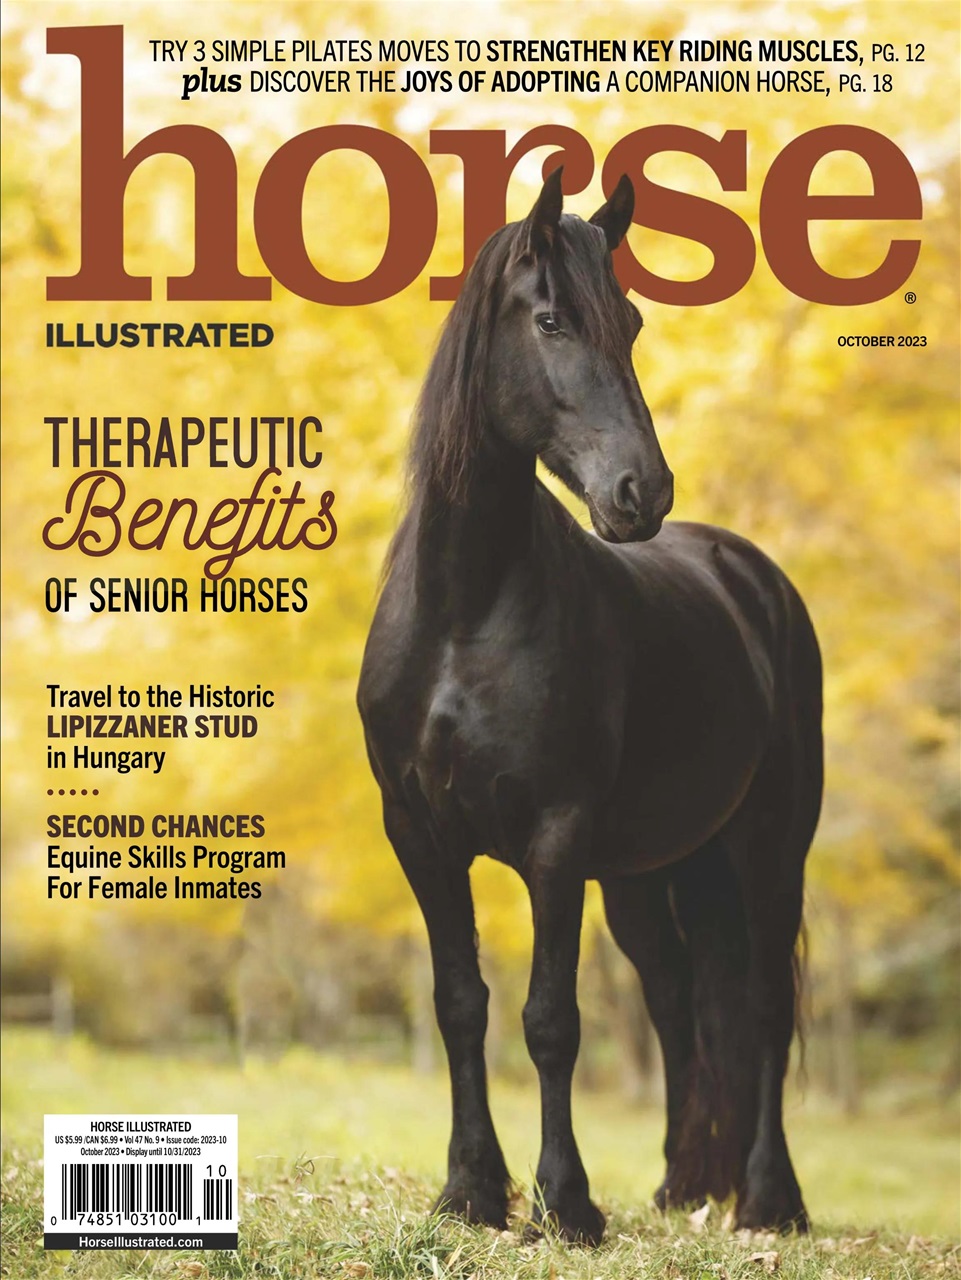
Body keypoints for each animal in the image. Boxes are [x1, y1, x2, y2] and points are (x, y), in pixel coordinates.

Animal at [357, 168, 822, 1244]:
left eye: (634, 322)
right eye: (550, 321)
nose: (640, 492)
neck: (463, 611)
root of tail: (750, 575)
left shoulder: (555, 840)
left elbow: (550, 1020)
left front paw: (565, 1203)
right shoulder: (420, 834)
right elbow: (460, 1001)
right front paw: (472, 1190)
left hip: (768, 847)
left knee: (762, 1009)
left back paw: (768, 1201)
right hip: (650, 876)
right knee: (679, 1000)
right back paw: (683, 1186)